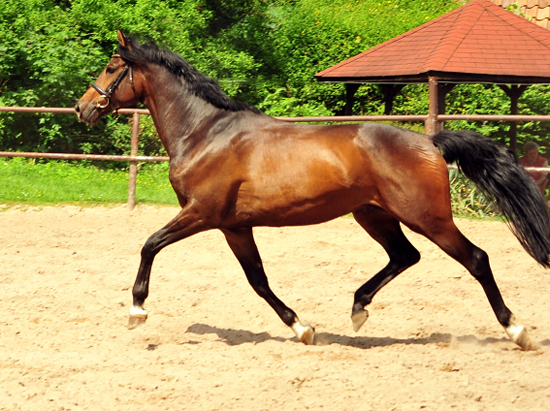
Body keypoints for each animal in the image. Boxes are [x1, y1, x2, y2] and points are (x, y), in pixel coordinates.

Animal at [76, 30, 550, 350]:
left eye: (112, 68)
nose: (83, 107)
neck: (206, 133)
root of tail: (430, 142)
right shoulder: (234, 226)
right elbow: (258, 280)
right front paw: (302, 327)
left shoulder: (201, 213)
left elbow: (149, 244)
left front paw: (137, 310)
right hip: (374, 214)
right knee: (405, 256)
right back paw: (358, 309)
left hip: (428, 218)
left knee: (476, 258)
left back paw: (517, 330)